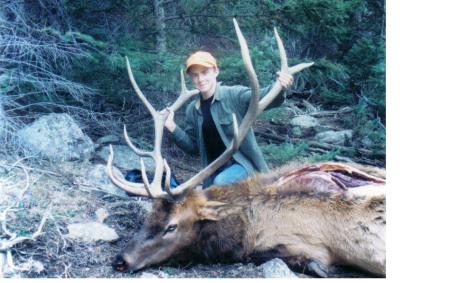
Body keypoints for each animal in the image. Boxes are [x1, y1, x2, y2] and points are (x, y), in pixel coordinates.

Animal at [107, 18, 384, 278]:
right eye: (149, 215)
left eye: (171, 226)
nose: (120, 260)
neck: (244, 227)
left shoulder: (305, 244)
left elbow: (268, 256)